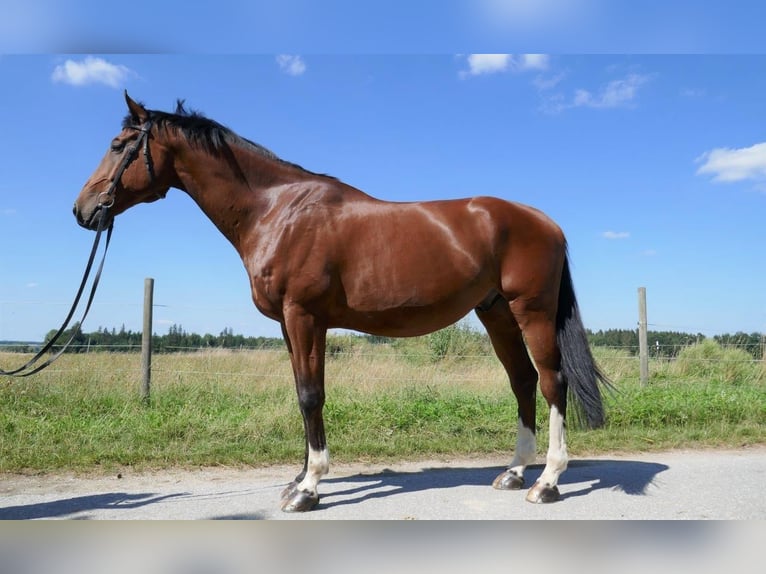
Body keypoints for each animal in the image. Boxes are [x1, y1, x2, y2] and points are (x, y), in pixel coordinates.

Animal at [73, 93, 612, 512]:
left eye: (119, 146)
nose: (83, 210)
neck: (276, 210)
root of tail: (545, 222)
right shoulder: (288, 324)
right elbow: (301, 392)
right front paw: (298, 477)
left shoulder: (304, 316)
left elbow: (312, 395)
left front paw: (309, 488)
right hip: (496, 313)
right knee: (522, 381)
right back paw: (515, 472)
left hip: (531, 311)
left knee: (552, 381)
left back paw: (547, 482)